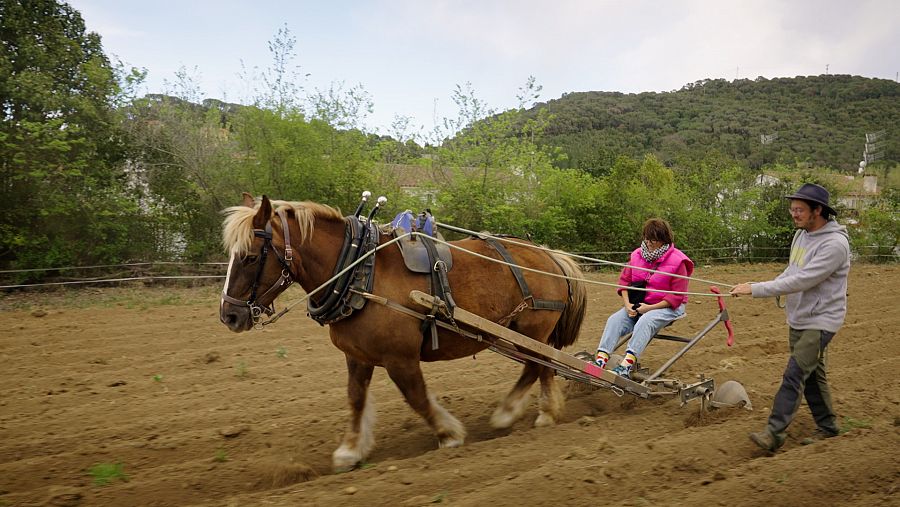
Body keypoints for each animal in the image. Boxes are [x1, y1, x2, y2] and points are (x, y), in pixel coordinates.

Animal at [215, 195, 588, 472]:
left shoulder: (400, 357)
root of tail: (550, 255)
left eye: (250, 257)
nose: (229, 315)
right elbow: (355, 398)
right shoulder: (357, 355)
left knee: (539, 365)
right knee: (539, 366)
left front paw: (449, 434)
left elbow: (417, 396)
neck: (359, 273)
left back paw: (530, 414)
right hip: (522, 332)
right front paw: (350, 450)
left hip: (534, 329)